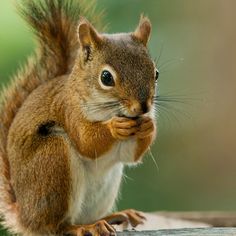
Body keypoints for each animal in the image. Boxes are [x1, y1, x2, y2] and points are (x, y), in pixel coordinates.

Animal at [0, 0, 159, 236]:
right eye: (106, 77)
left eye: (156, 73)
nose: (143, 107)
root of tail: (26, 218)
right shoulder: (69, 111)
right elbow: (87, 142)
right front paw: (114, 127)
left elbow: (131, 156)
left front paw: (149, 125)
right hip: (53, 160)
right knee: (56, 227)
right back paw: (83, 227)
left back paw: (112, 217)